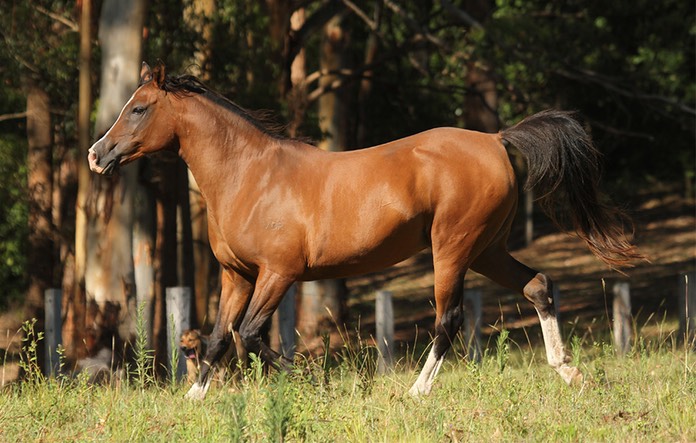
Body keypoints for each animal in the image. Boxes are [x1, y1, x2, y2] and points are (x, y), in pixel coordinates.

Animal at [89, 63, 644, 402]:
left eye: (139, 107)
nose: (97, 155)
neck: (250, 175)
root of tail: (497, 139)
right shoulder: (236, 276)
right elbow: (218, 339)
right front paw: (194, 397)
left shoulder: (278, 273)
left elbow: (249, 334)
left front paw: (315, 383)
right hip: (488, 248)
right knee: (538, 287)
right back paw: (567, 370)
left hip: (453, 248)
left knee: (449, 320)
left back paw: (417, 391)